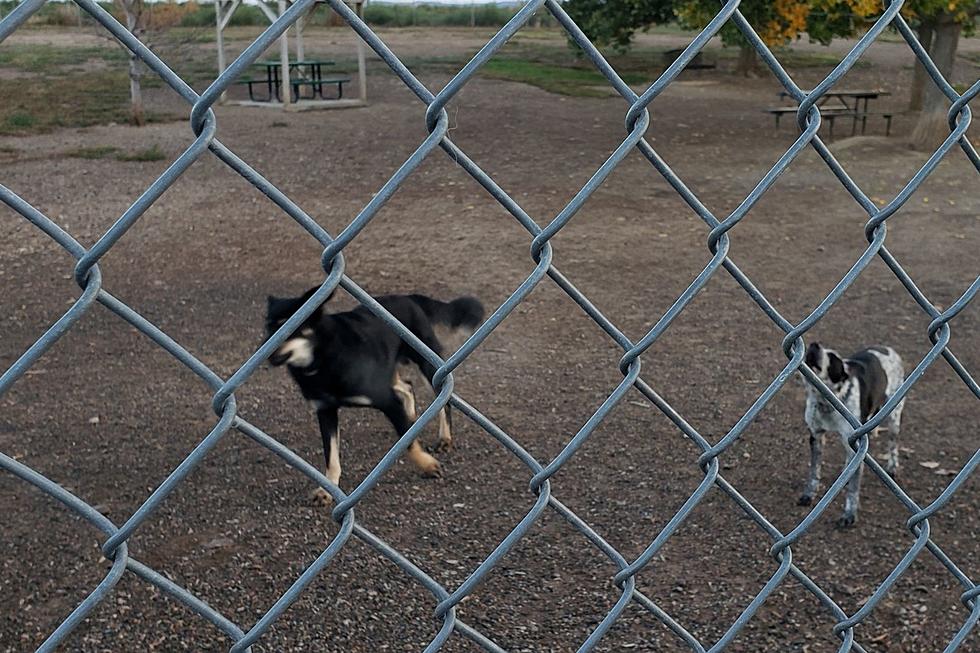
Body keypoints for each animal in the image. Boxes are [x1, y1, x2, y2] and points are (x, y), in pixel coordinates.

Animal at [266, 286, 484, 500]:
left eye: (289, 327)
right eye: (268, 327)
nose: (267, 351)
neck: (321, 358)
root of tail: (408, 297)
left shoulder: (386, 399)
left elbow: (409, 444)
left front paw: (428, 465)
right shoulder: (326, 411)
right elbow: (331, 457)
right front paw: (326, 490)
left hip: (427, 364)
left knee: (443, 401)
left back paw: (444, 438)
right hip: (391, 371)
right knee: (407, 386)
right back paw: (412, 416)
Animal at [800, 342, 908, 524]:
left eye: (832, 358)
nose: (814, 344)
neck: (827, 402)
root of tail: (889, 349)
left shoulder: (857, 441)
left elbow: (853, 488)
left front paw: (849, 514)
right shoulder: (816, 436)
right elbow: (814, 471)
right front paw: (809, 494)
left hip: (893, 417)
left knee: (893, 444)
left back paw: (892, 467)